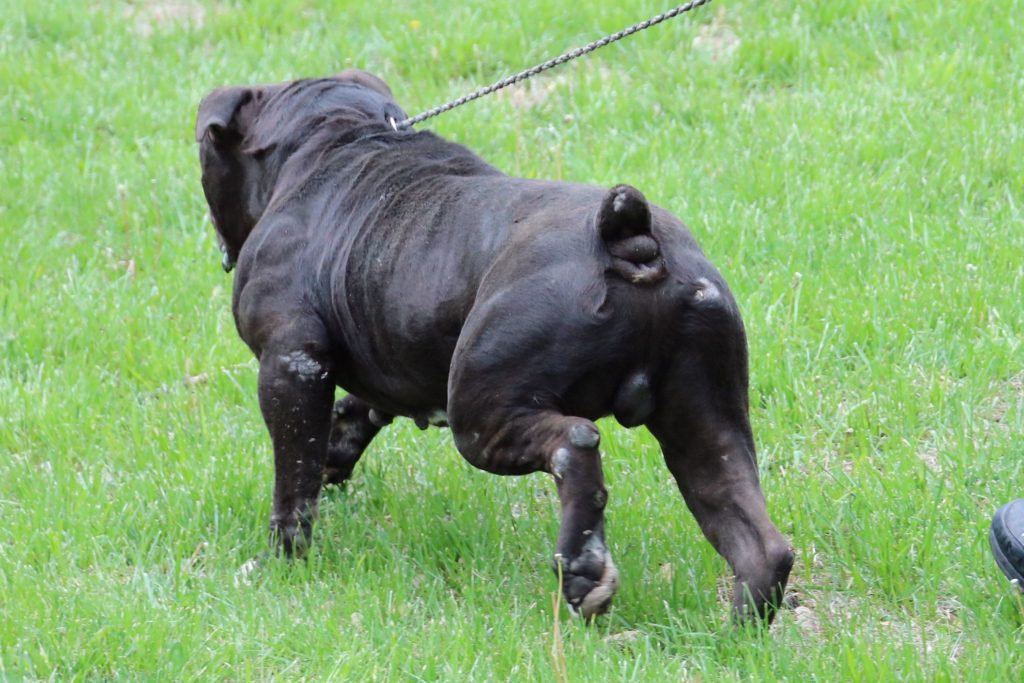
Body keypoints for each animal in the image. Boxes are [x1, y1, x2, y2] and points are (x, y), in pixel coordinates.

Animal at [195, 69, 794, 618]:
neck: (336, 136)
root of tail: (628, 237)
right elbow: (348, 419)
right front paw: (335, 455)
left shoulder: (291, 365)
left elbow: (292, 486)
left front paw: (280, 562)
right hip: (707, 426)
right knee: (758, 540)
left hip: (482, 418)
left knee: (575, 444)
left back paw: (583, 571)